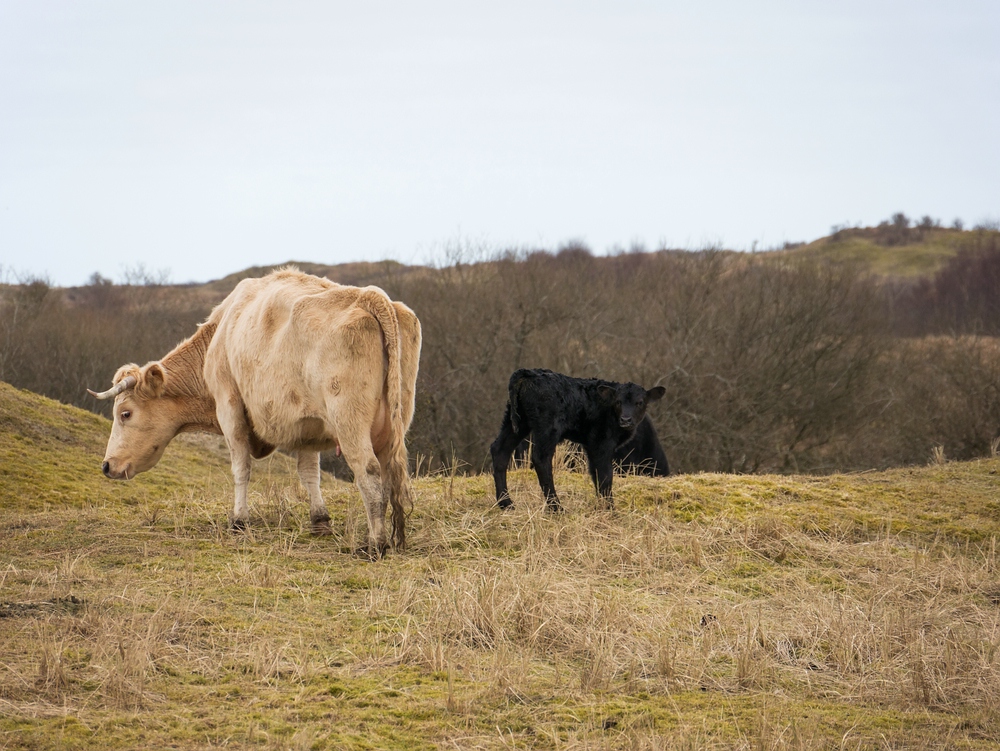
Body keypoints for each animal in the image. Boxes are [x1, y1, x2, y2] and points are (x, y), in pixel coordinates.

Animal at [90, 268, 422, 556]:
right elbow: (309, 473)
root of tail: (368, 295)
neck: (221, 333)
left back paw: (375, 545)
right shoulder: (308, 424)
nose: (107, 466)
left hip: (349, 422)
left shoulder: (229, 407)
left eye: (125, 413)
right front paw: (320, 521)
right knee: (389, 474)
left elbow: (241, 468)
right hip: (395, 422)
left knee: (369, 472)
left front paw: (239, 521)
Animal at [490, 370, 664, 512]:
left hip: (518, 422)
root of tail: (528, 373)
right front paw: (610, 509)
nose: (626, 419)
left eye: (639, 402)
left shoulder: (591, 445)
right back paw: (556, 507)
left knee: (500, 450)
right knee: (541, 459)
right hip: (547, 428)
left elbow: (596, 474)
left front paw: (602, 506)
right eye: (618, 402)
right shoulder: (601, 443)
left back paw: (506, 503)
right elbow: (605, 475)